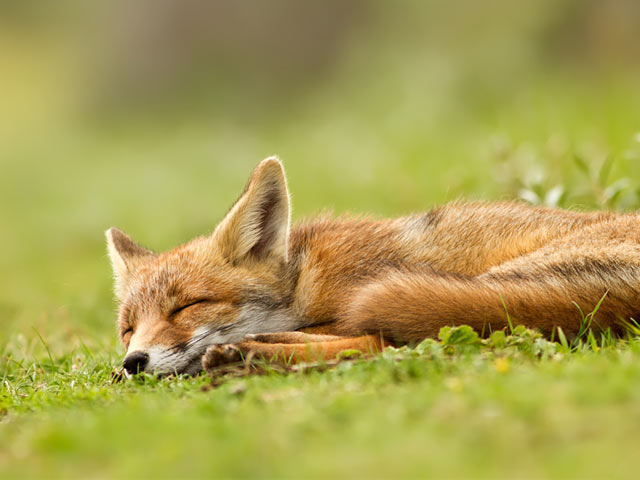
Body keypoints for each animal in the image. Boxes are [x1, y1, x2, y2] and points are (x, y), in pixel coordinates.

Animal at [106, 158, 640, 376]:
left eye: (187, 306)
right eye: (127, 329)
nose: (134, 362)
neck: (305, 281)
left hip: (489, 289)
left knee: (397, 342)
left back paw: (250, 352)